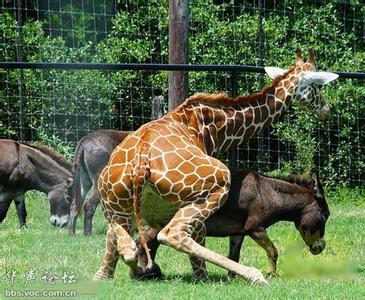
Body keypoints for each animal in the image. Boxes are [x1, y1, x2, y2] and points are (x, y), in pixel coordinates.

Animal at [95, 49, 336, 286]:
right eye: (316, 86)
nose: (327, 109)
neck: (216, 127)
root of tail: (141, 162)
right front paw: (201, 276)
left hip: (114, 203)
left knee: (125, 245)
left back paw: (124, 273)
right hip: (216, 184)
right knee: (171, 234)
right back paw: (252, 275)